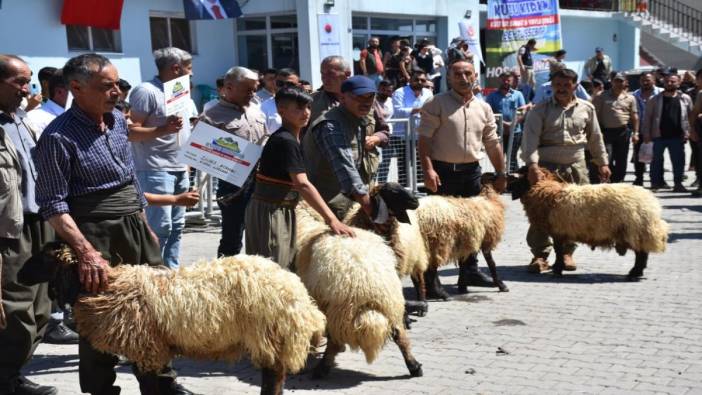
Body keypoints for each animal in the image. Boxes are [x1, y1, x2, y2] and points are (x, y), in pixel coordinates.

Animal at [18, 241, 328, 395]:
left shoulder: (146, 349)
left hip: (270, 334)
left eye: (42, 257)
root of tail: (299, 294)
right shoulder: (149, 350)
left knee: (273, 380)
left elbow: (149, 390)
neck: (106, 286)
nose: (20, 275)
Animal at [292, 204, 424, 380]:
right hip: (391, 306)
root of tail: (368, 285)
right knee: (400, 335)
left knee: (334, 342)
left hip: (338, 309)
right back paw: (414, 366)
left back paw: (322, 369)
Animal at [512, 168, 672, 278]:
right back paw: (636, 272)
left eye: (520, 176)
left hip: (635, 230)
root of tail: (652, 203)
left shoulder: (558, 231)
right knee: (643, 253)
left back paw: (634, 273)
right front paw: (558, 267)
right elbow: (560, 251)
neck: (548, 192)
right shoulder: (562, 231)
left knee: (641, 254)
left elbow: (558, 251)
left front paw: (557, 269)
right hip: (639, 231)